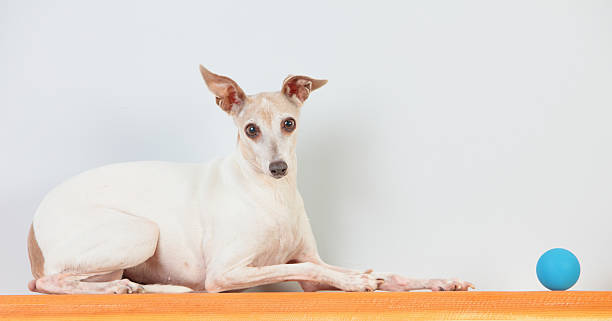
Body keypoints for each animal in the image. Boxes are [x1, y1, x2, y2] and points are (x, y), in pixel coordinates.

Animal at [26, 66, 476, 294]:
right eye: (251, 130)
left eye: (289, 123)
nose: (278, 168)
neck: (271, 196)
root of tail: (33, 229)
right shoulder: (225, 273)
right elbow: (314, 270)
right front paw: (355, 280)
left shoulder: (310, 263)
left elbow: (376, 270)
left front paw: (433, 281)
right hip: (141, 232)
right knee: (46, 281)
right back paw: (117, 291)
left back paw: (147, 289)